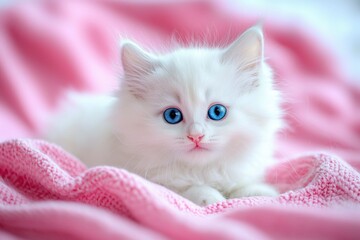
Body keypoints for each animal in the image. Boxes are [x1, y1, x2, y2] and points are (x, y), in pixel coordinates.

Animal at [45, 26, 282, 206]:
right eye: (173, 115)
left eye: (217, 112)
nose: (196, 136)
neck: (200, 171)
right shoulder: (143, 177)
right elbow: (185, 189)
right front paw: (210, 196)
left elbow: (242, 184)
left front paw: (265, 192)